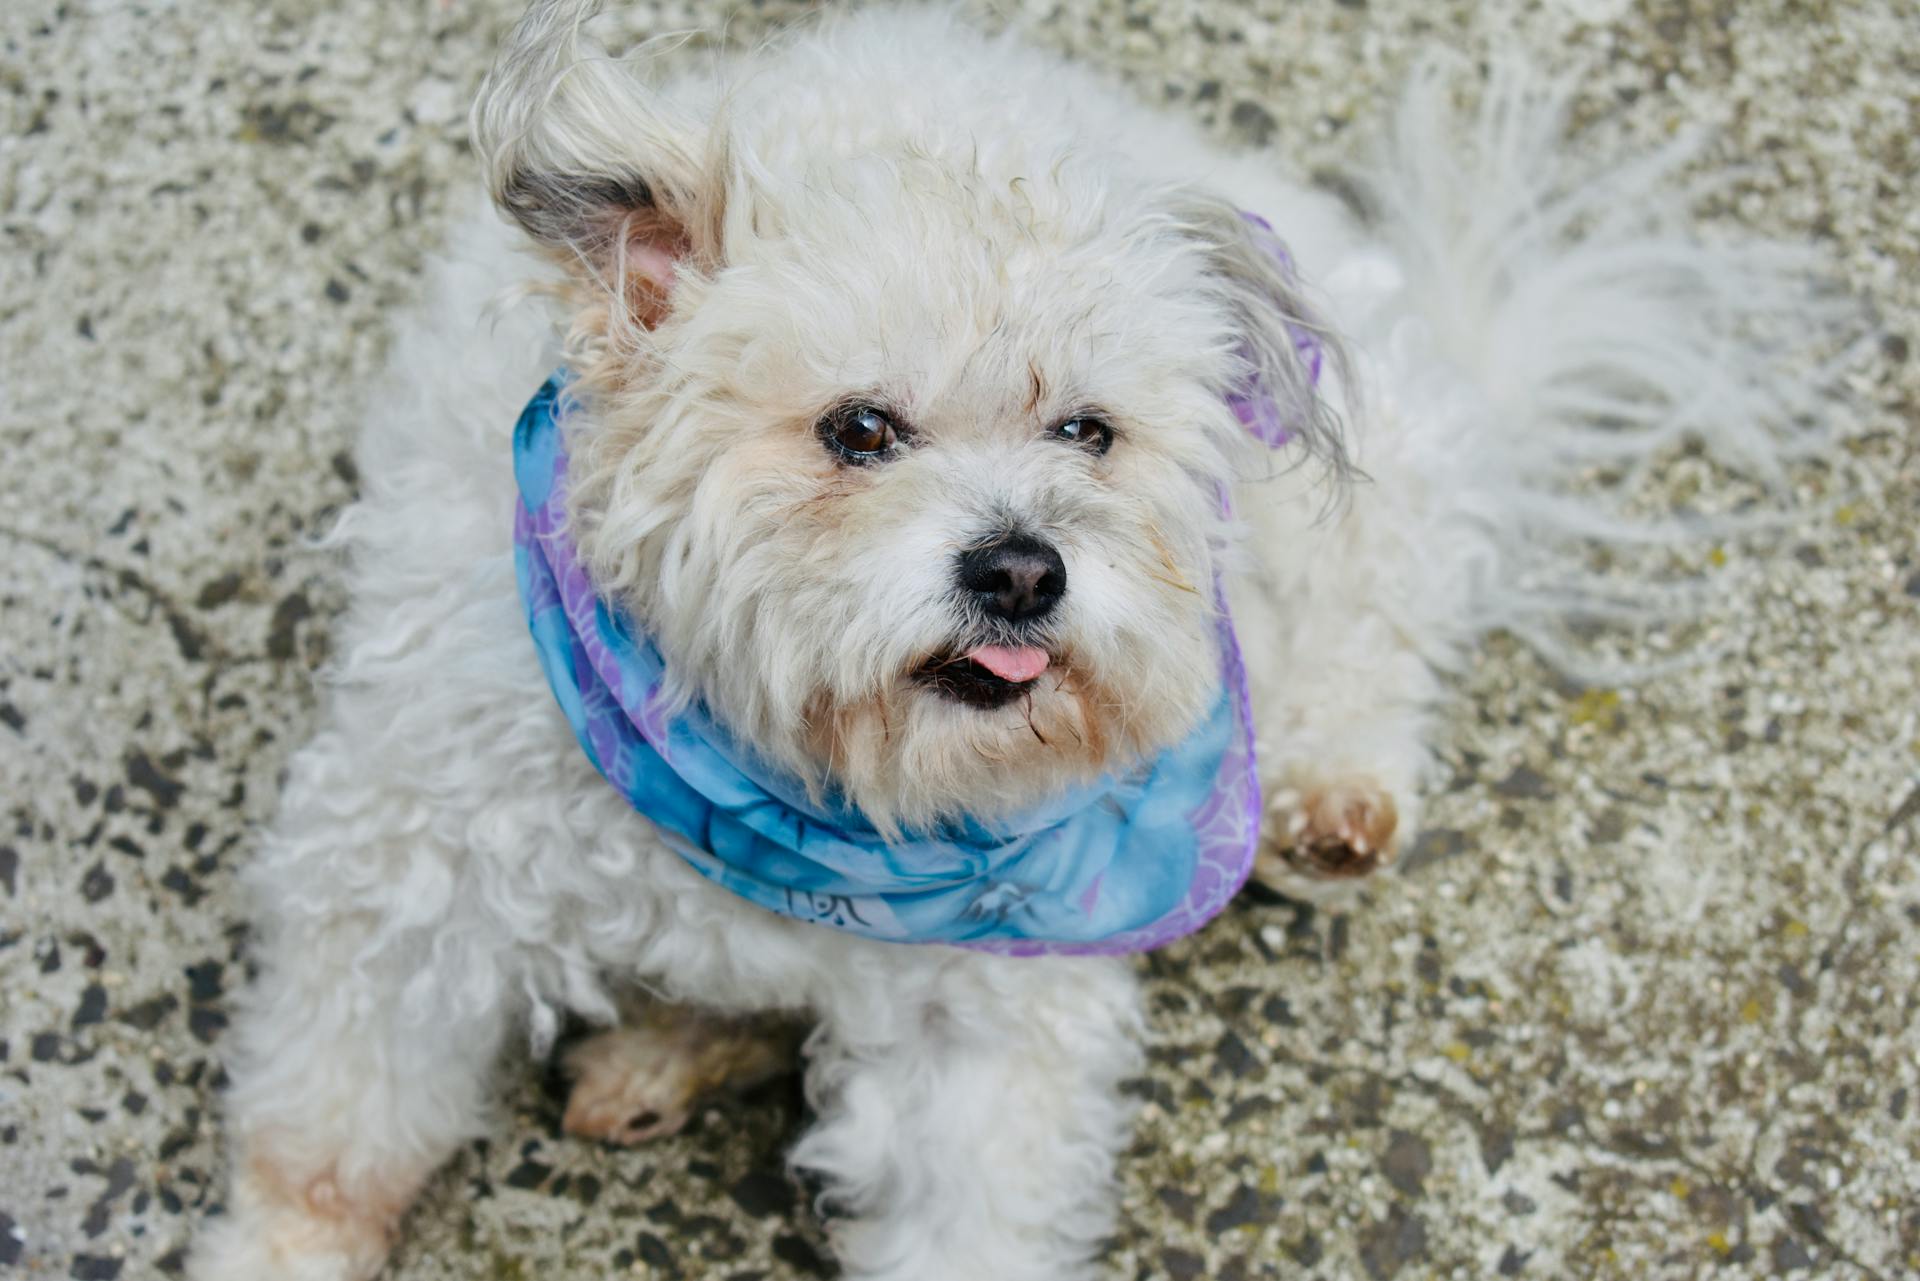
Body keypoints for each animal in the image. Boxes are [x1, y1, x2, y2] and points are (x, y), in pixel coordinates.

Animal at [187, 5, 1835, 1275]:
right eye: (858, 429)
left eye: (1087, 431)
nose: (1025, 570)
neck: (806, 779)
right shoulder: (411, 887)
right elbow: (330, 1134)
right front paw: (281, 1249)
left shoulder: (987, 1033)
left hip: (1367, 518)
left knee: (1377, 635)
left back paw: (1333, 799)